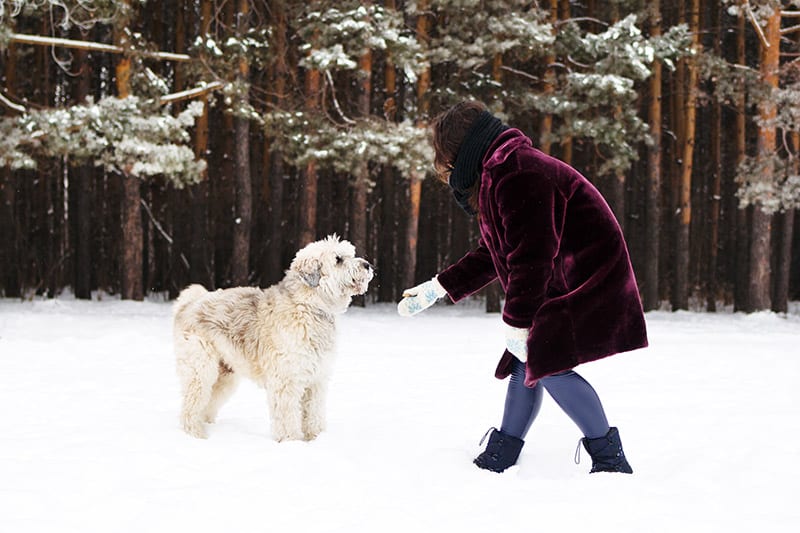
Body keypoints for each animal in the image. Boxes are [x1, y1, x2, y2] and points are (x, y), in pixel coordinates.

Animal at [173, 235, 374, 438]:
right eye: (338, 259)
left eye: (351, 254)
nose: (368, 265)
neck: (308, 306)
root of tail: (188, 304)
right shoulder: (286, 380)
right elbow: (288, 418)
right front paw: (291, 441)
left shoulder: (316, 380)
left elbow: (314, 413)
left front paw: (316, 437)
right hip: (200, 370)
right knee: (190, 408)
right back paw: (195, 435)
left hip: (225, 375)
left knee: (207, 405)